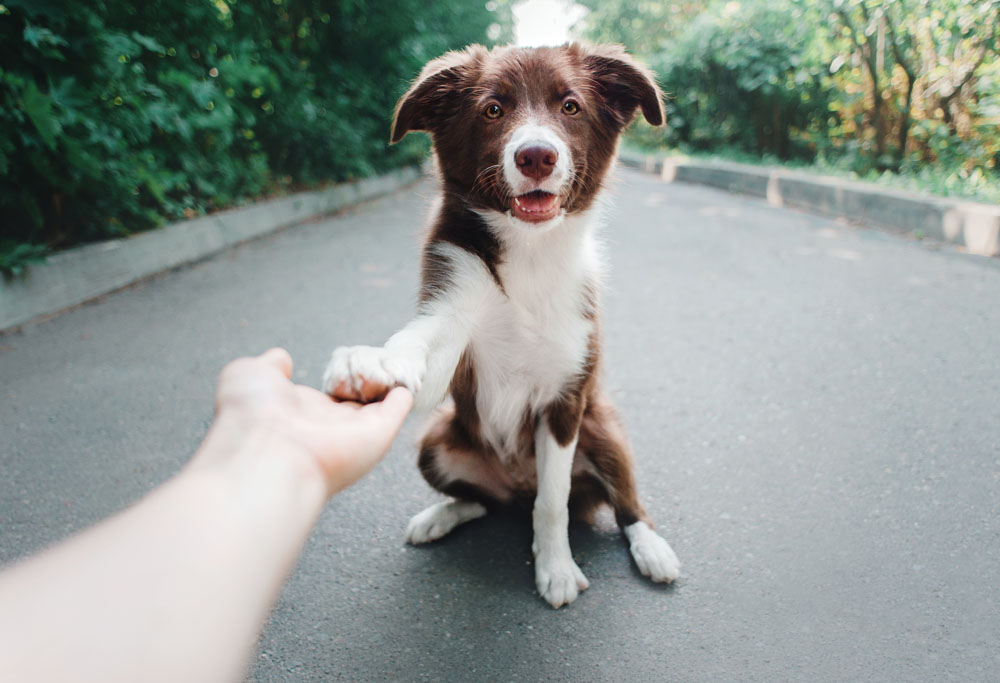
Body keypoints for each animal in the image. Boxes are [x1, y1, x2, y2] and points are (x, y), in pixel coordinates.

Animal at [324, 42, 684, 608]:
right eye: (493, 109)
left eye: (570, 107)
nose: (536, 156)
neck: (529, 256)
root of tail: (514, 487)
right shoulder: (451, 316)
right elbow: (417, 344)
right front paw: (371, 361)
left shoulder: (566, 399)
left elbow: (553, 502)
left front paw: (555, 569)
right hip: (436, 440)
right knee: (481, 503)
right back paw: (439, 517)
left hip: (605, 431)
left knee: (624, 504)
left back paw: (652, 550)